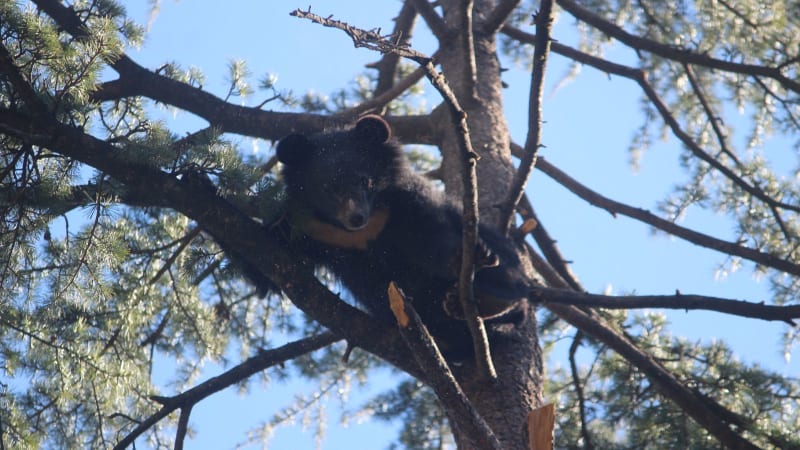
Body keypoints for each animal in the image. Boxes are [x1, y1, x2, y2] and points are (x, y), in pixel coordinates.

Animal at [275, 115, 531, 354]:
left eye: (365, 180)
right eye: (328, 187)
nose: (356, 218)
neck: (362, 231)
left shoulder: (406, 203)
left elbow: (430, 238)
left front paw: (463, 258)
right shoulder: (314, 230)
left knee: (508, 281)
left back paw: (486, 300)